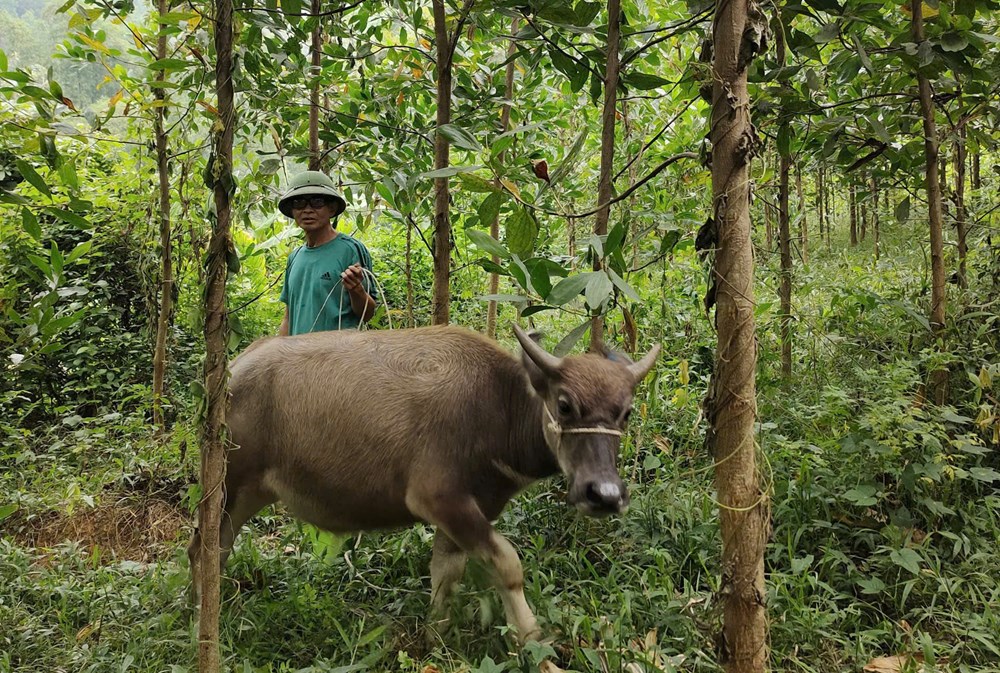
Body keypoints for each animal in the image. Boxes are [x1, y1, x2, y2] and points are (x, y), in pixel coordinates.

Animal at [188, 324, 660, 640]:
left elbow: (445, 573)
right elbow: (508, 565)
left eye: (625, 412)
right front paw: (533, 643)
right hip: (227, 484)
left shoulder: (470, 510)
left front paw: (436, 638)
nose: (604, 495)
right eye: (564, 405)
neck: (497, 407)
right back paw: (199, 623)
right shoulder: (438, 499)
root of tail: (230, 372)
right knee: (202, 549)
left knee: (218, 549)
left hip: (249, 492)